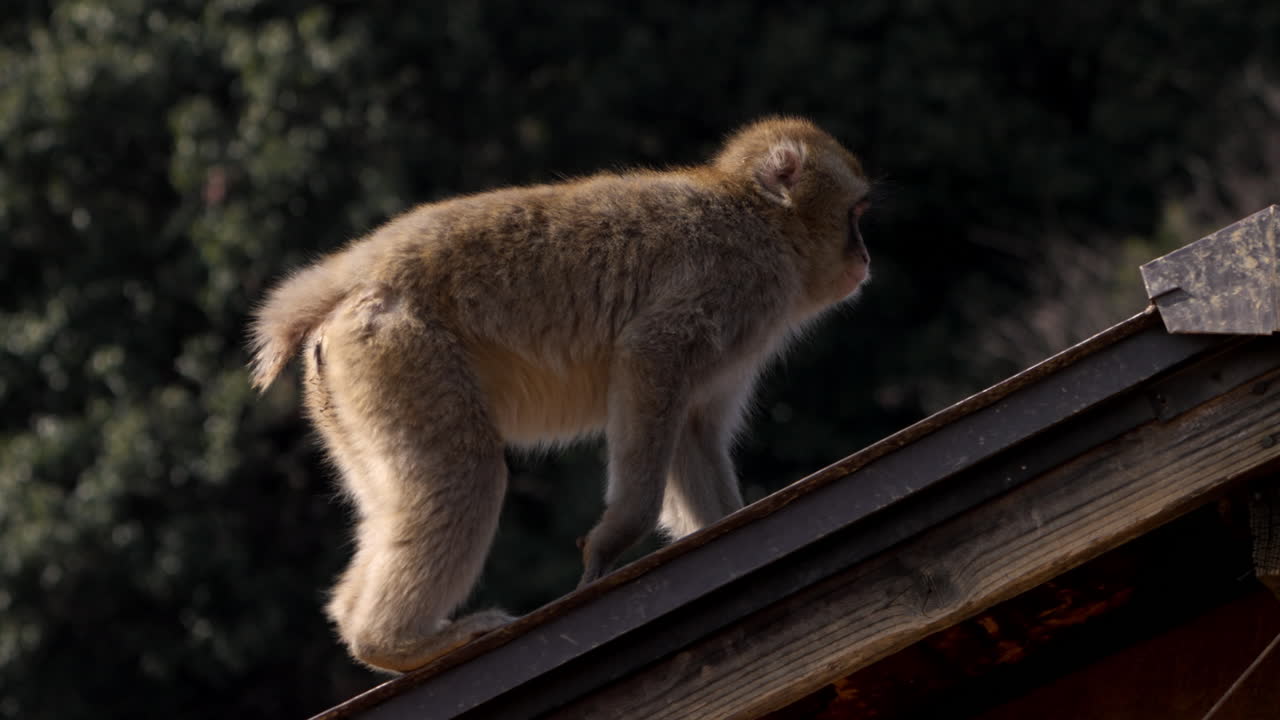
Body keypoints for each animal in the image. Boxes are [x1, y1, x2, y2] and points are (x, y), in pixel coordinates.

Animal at [249, 116, 872, 672]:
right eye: (855, 215)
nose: (864, 257)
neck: (763, 222)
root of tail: (354, 282)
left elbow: (693, 429)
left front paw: (724, 536)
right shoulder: (731, 283)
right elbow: (650, 357)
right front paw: (614, 539)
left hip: (351, 387)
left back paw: (362, 630)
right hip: (401, 355)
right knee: (467, 471)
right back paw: (395, 645)